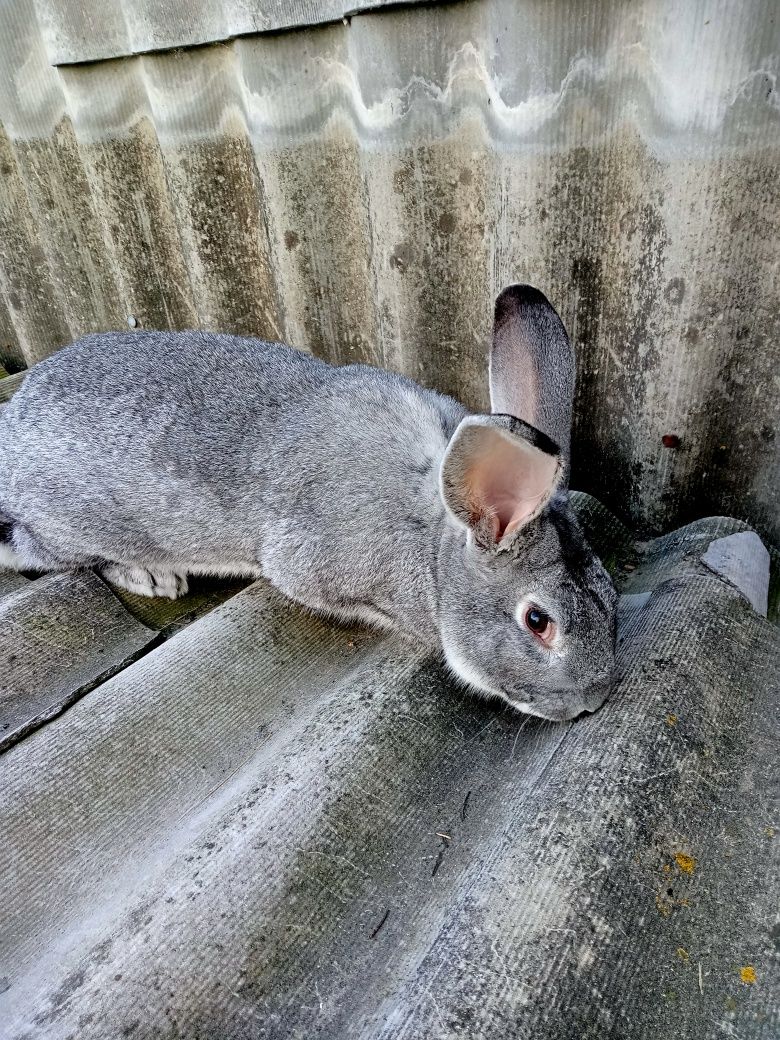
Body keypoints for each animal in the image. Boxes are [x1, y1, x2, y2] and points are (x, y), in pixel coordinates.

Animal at [0, 284, 615, 723]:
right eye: (538, 622)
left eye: (609, 591)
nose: (591, 702)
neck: (437, 538)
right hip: (71, 528)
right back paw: (152, 577)